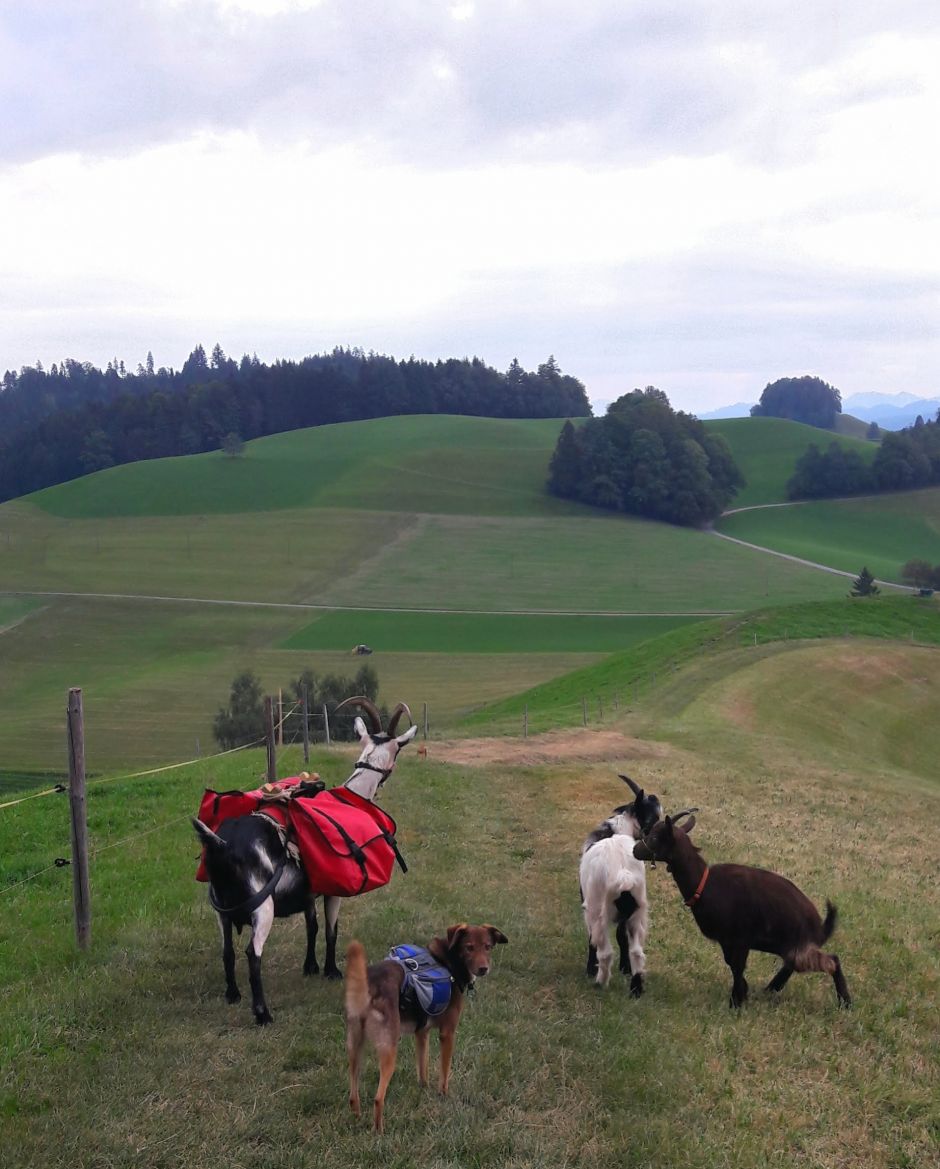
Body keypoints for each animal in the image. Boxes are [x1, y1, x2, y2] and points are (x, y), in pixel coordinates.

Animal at [192, 692, 416, 1024]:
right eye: (398, 749)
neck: (351, 797)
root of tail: (221, 844)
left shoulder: (309, 889)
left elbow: (312, 926)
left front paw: (310, 967)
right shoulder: (333, 890)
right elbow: (331, 930)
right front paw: (331, 971)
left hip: (220, 910)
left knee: (227, 950)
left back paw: (232, 994)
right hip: (263, 907)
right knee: (252, 954)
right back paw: (262, 1013)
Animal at [343, 921, 507, 1131]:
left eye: (487, 947)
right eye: (469, 947)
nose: (483, 969)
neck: (447, 963)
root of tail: (370, 984)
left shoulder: (422, 1032)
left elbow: (423, 1066)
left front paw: (424, 1089)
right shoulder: (448, 1033)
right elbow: (444, 1072)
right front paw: (443, 1096)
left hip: (355, 1048)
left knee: (352, 1093)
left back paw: (357, 1117)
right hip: (389, 1049)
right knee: (378, 1098)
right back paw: (379, 1131)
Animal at [640, 818, 851, 1010]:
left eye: (655, 837)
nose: (635, 849)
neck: (703, 883)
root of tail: (819, 926)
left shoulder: (740, 939)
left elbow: (737, 966)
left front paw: (736, 1003)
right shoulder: (727, 940)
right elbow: (732, 965)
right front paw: (743, 993)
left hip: (798, 949)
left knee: (832, 961)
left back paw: (846, 1003)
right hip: (790, 948)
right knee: (793, 964)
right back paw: (772, 988)